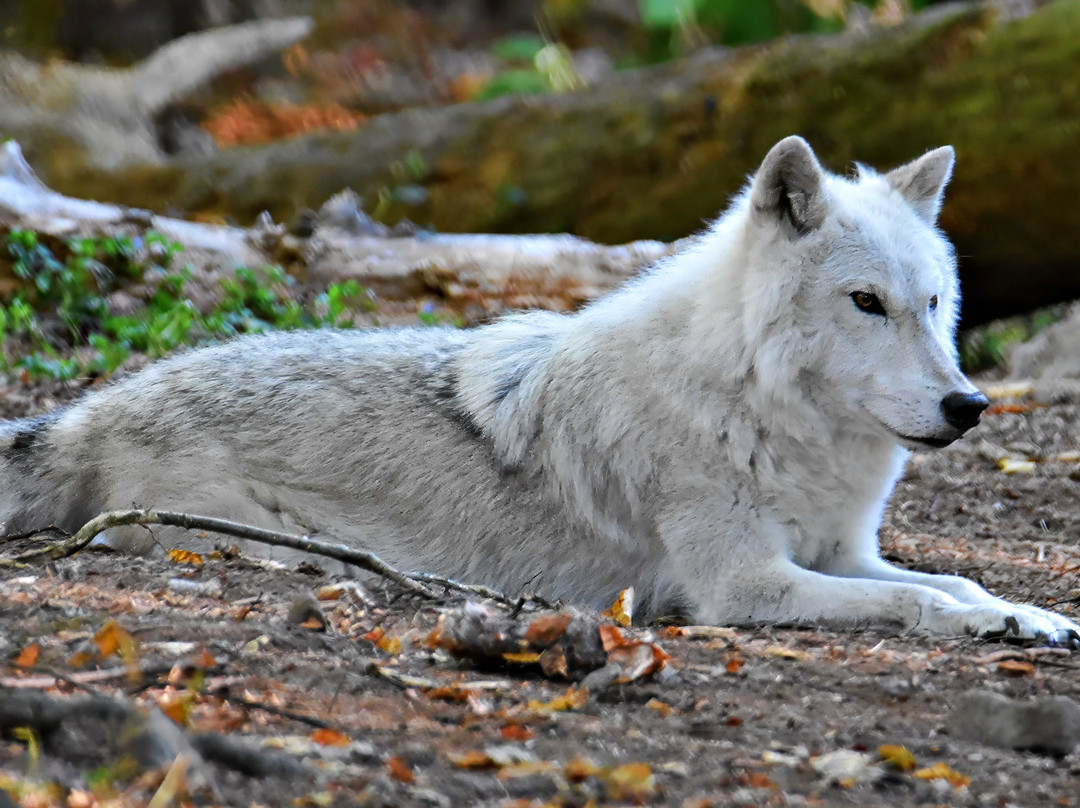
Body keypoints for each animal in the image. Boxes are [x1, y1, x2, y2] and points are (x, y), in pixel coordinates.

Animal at [1, 137, 1075, 642]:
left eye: (934, 305)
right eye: (865, 303)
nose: (968, 408)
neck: (753, 411)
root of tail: (91, 408)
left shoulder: (843, 553)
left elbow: (951, 578)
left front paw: (1025, 613)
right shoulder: (745, 585)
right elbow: (917, 604)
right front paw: (987, 622)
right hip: (271, 542)